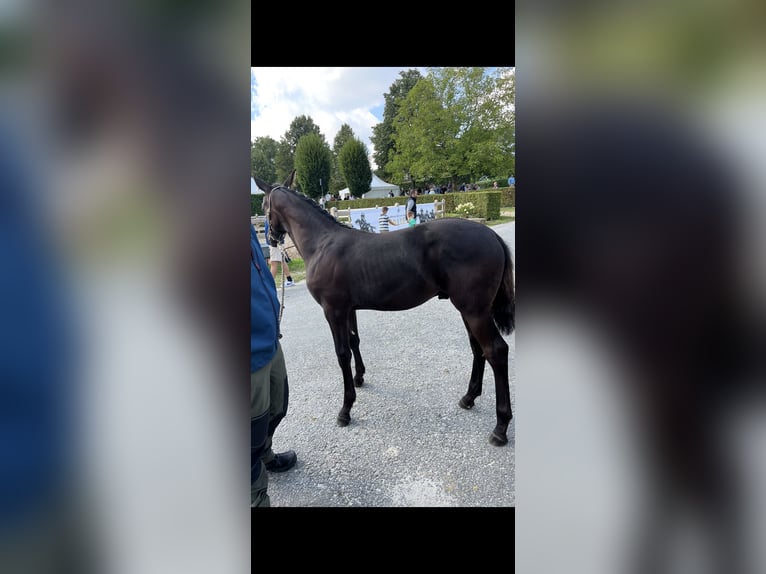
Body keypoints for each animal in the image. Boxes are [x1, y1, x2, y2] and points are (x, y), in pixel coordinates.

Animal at [254, 172, 515, 446]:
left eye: (262, 205)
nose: (271, 239)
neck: (322, 244)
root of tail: (492, 236)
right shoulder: (349, 309)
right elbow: (354, 341)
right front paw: (359, 378)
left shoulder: (333, 310)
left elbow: (342, 353)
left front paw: (346, 410)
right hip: (470, 311)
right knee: (478, 350)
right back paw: (469, 398)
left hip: (475, 312)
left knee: (496, 351)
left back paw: (500, 427)